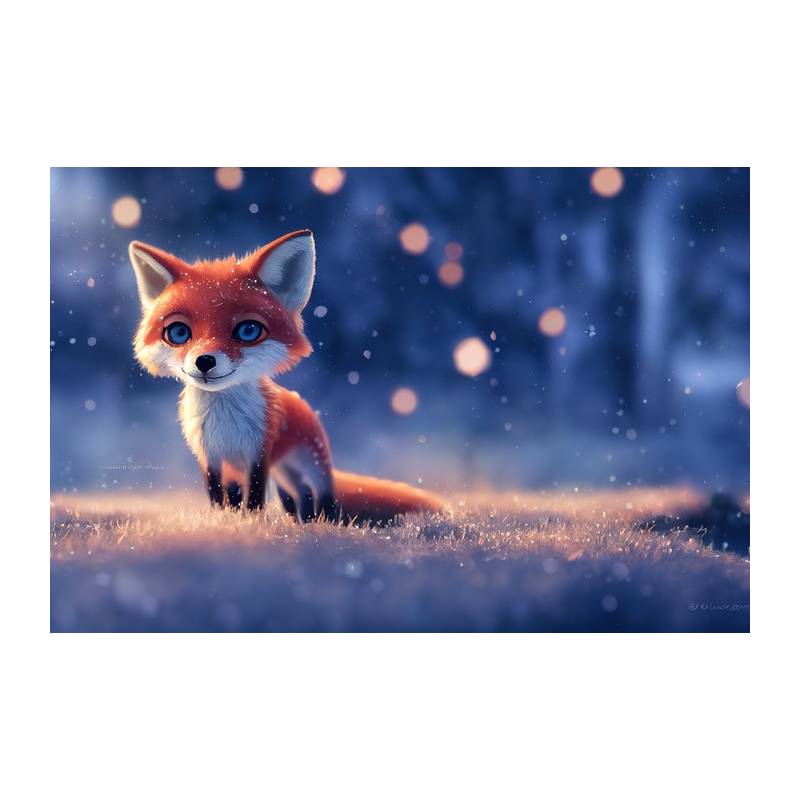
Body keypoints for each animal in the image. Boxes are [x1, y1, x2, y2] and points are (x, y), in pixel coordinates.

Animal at [129, 229, 443, 523]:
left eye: (248, 331)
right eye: (179, 333)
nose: (204, 361)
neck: (225, 422)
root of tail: (303, 404)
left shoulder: (259, 453)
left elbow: (254, 495)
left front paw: (251, 522)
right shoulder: (213, 458)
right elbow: (221, 496)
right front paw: (226, 521)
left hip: (312, 465)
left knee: (323, 493)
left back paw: (325, 523)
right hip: (284, 474)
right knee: (299, 496)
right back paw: (301, 522)